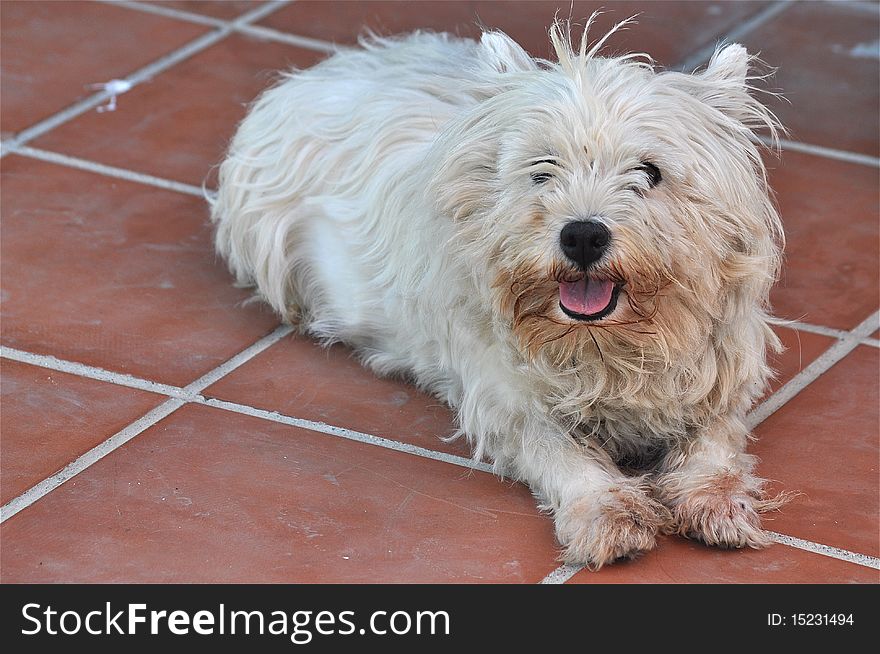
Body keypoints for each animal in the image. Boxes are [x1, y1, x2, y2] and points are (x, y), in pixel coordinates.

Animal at [215, 18, 792, 568]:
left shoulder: (719, 376)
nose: (583, 235)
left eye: (649, 172)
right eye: (542, 170)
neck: (609, 347)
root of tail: (338, 60)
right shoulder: (509, 398)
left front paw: (718, 502)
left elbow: (714, 444)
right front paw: (606, 514)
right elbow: (563, 454)